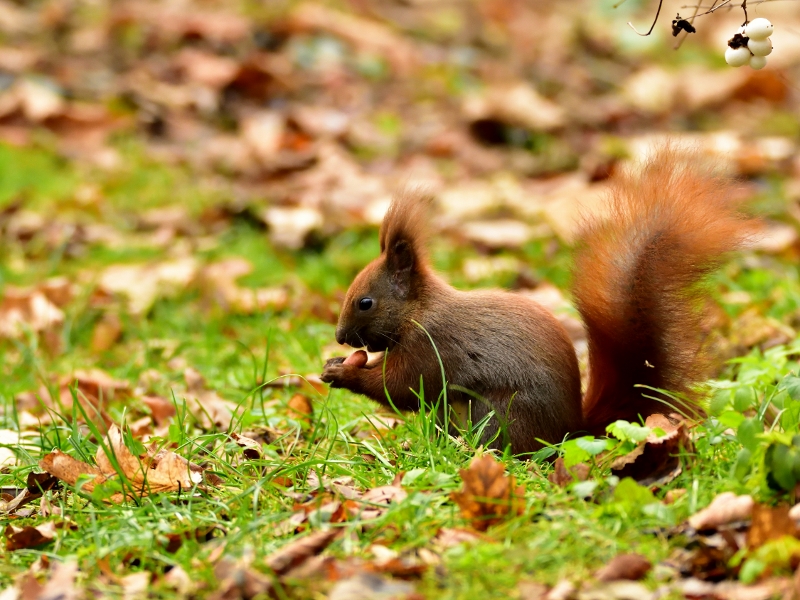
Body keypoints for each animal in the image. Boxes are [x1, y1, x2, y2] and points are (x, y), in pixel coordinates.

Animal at [320, 150, 756, 454]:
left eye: (365, 302)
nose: (341, 337)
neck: (418, 311)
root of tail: (571, 431)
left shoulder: (432, 347)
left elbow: (402, 388)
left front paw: (342, 373)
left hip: (497, 413)